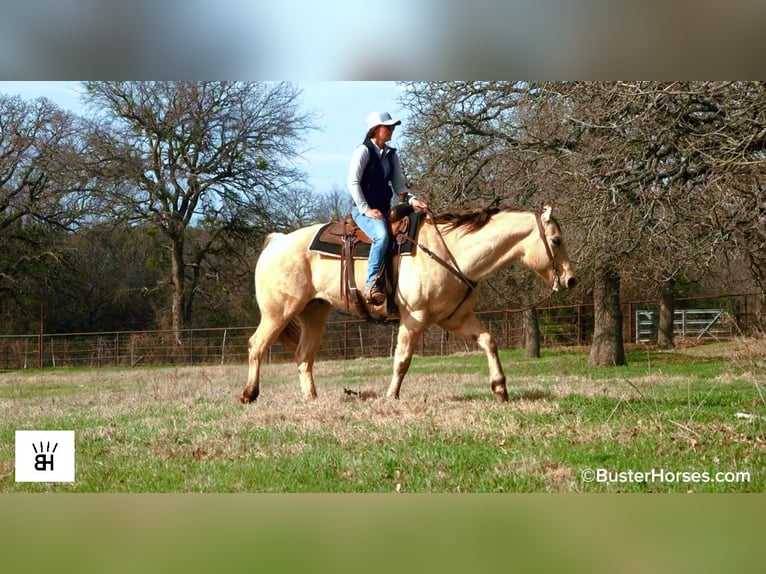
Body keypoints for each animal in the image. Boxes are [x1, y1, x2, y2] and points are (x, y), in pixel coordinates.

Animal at [240, 203, 577, 404]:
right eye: (556, 240)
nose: (571, 280)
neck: (452, 252)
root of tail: (276, 242)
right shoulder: (413, 319)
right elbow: (402, 359)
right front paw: (391, 395)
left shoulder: (456, 318)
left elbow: (488, 341)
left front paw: (500, 388)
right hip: (278, 313)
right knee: (256, 345)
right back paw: (249, 394)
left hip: (315, 314)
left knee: (303, 356)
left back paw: (311, 398)